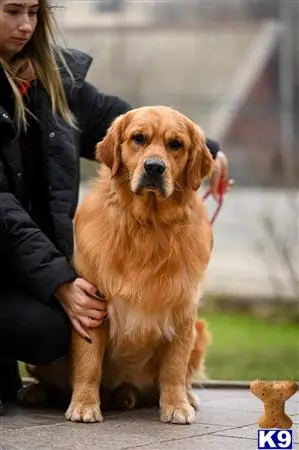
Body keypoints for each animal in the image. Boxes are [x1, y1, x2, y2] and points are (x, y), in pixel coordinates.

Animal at [20, 105, 213, 426]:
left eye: (176, 144)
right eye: (138, 138)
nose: (154, 168)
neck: (148, 226)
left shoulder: (183, 311)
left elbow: (174, 367)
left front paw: (176, 405)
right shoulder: (90, 306)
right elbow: (88, 364)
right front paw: (84, 405)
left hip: (199, 330)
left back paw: (180, 397)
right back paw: (37, 392)